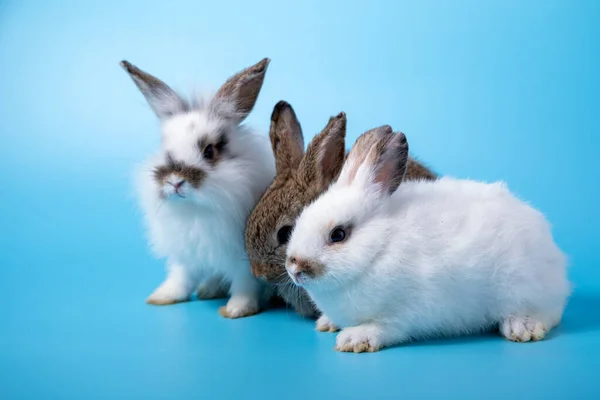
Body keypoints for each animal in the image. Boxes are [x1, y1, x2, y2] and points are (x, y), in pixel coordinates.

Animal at [122, 57, 276, 318]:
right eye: (164, 148)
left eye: (209, 151)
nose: (175, 181)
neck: (196, 209)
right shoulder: (187, 254)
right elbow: (182, 278)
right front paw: (162, 297)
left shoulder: (244, 259)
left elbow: (245, 285)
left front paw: (236, 309)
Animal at [284, 126, 568, 352]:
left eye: (338, 235)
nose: (294, 267)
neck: (379, 248)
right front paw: (327, 323)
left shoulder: (402, 313)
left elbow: (384, 328)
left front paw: (354, 339)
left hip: (524, 287)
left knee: (548, 313)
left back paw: (522, 327)